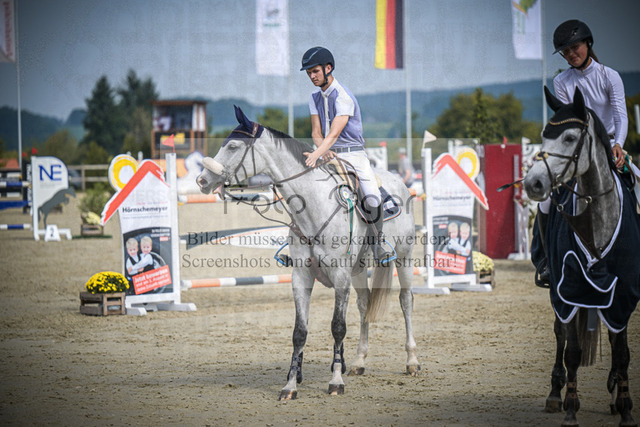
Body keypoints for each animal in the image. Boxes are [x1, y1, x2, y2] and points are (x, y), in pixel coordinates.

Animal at [197, 106, 421, 400]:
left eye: (232, 146)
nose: (202, 180)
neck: (313, 206)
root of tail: (400, 182)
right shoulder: (301, 276)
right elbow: (299, 332)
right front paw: (291, 385)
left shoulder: (340, 276)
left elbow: (337, 327)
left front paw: (335, 381)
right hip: (359, 271)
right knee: (364, 305)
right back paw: (359, 361)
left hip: (404, 259)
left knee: (406, 302)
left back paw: (412, 361)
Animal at [524, 86, 640, 427]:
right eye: (544, 135)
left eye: (570, 137)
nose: (533, 183)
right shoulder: (568, 288)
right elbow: (572, 349)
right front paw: (571, 409)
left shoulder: (624, 292)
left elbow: (622, 351)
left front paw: (625, 408)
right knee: (561, 333)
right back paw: (555, 392)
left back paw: (613, 393)